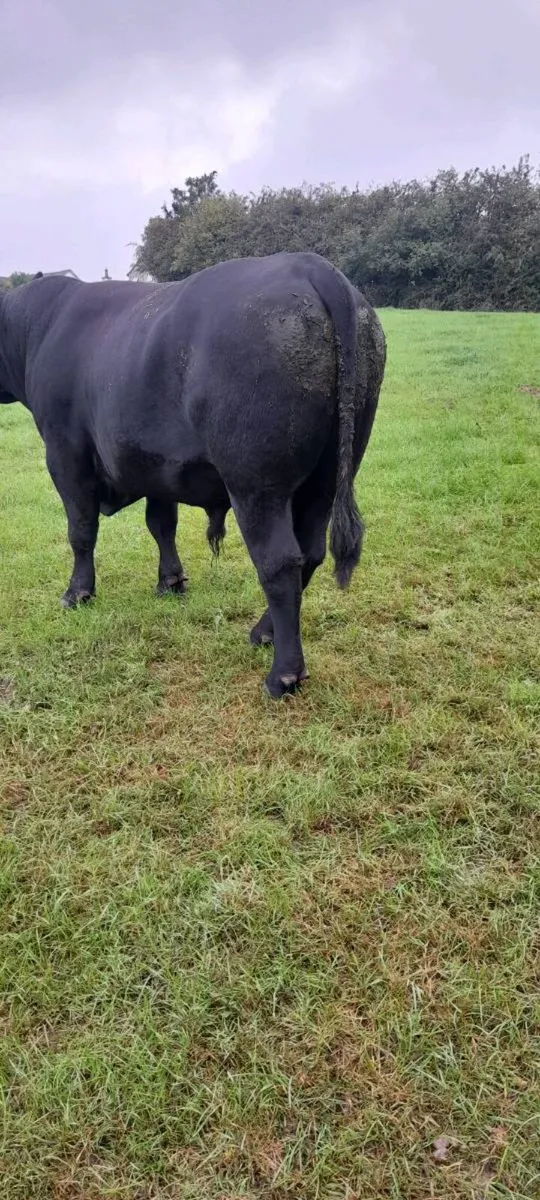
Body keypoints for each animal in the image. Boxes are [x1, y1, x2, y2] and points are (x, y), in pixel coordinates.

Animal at [0, 252, 386, 697]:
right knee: (311, 553)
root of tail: (308, 264)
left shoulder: (65, 452)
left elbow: (81, 530)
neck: (38, 326)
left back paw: (283, 672)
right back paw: (263, 631)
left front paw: (77, 593)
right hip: (324, 481)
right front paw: (170, 581)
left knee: (279, 563)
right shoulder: (155, 466)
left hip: (257, 486)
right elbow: (161, 524)